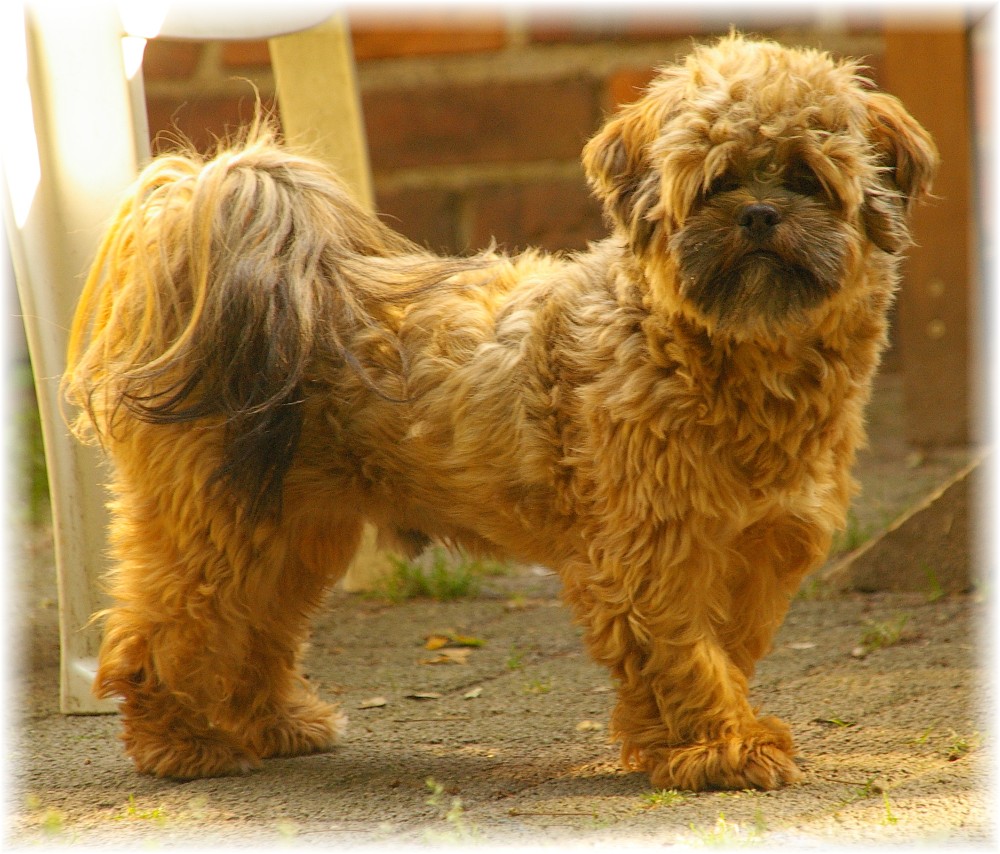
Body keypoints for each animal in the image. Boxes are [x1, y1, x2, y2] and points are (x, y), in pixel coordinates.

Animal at [64, 35, 936, 796]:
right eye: (716, 183)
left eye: (806, 178)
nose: (759, 214)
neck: (722, 357)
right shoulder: (653, 554)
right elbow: (687, 655)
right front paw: (718, 748)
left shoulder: (758, 552)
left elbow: (720, 651)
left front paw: (678, 743)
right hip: (216, 525)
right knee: (163, 629)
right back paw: (180, 741)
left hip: (290, 530)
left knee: (253, 629)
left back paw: (271, 723)